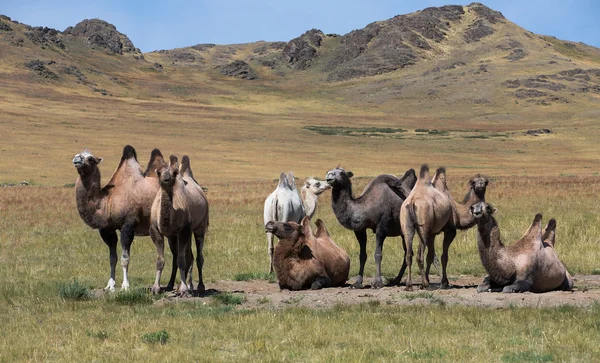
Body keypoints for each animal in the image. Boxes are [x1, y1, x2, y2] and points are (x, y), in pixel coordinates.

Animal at [74, 146, 171, 292]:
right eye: (77, 154)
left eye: (90, 158)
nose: (76, 159)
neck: (107, 201)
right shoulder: (107, 229)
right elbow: (112, 258)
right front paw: (110, 285)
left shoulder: (128, 224)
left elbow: (125, 258)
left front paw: (125, 286)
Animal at [149, 154, 209, 296]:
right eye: (159, 172)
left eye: (174, 173)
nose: (166, 178)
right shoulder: (156, 230)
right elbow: (160, 260)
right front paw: (156, 288)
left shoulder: (184, 229)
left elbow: (182, 260)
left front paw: (183, 290)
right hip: (174, 236)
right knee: (182, 256)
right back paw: (173, 285)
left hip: (200, 227)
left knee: (198, 257)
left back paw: (199, 287)